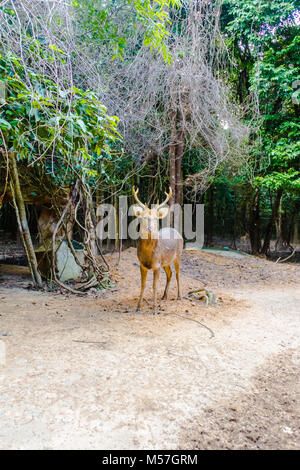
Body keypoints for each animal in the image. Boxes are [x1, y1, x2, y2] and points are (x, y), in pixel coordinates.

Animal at [132, 185, 184, 314]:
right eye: (144, 217)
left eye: (156, 218)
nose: (150, 229)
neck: (148, 257)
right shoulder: (142, 264)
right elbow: (143, 285)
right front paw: (138, 307)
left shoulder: (157, 265)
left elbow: (155, 286)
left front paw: (154, 310)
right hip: (165, 262)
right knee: (170, 273)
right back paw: (164, 296)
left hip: (178, 255)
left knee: (177, 274)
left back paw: (179, 296)